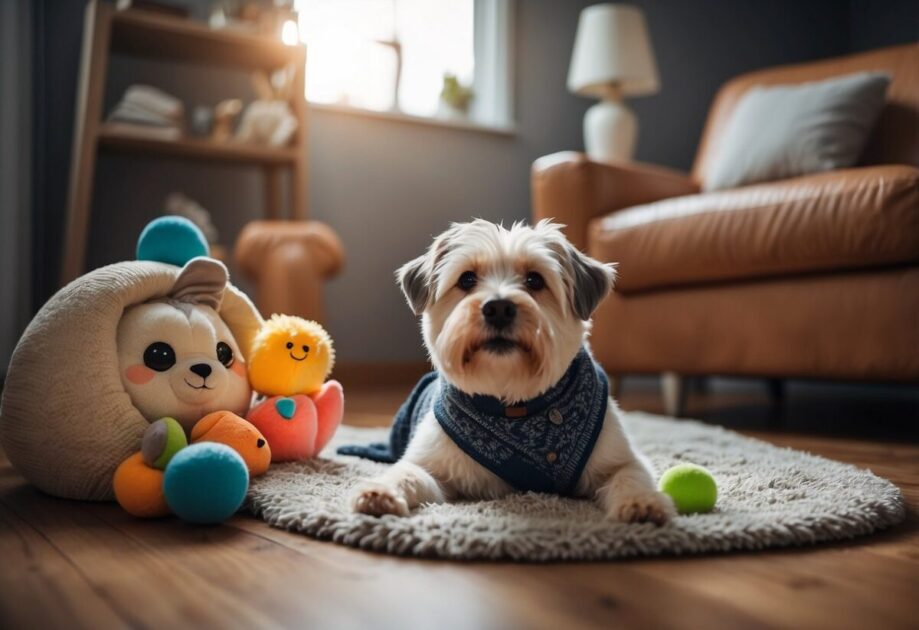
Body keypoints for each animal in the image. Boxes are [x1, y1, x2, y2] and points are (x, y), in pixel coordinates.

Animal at [344, 220, 676, 524]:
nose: (499, 308)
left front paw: (642, 503)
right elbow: (405, 474)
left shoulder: (620, 458)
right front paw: (380, 493)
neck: (512, 402)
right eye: (467, 279)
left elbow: (629, 476)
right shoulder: (432, 463)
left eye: (535, 280)